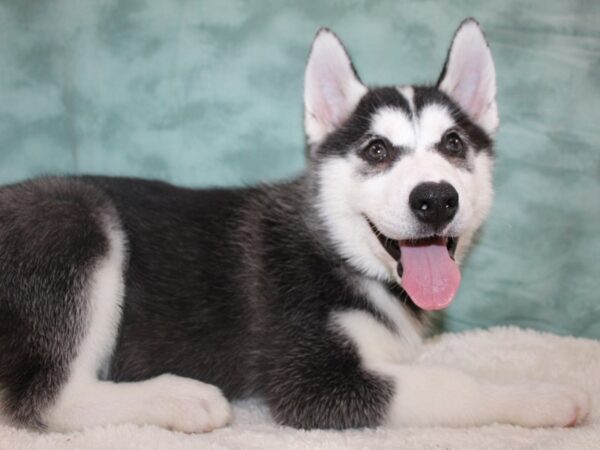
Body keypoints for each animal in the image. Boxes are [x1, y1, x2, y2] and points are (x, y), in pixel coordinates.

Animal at [0, 18, 588, 432]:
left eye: (453, 144)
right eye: (377, 150)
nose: (435, 200)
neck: (338, 250)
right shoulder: (311, 379)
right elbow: (450, 385)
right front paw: (539, 395)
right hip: (72, 219)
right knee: (49, 397)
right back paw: (181, 398)